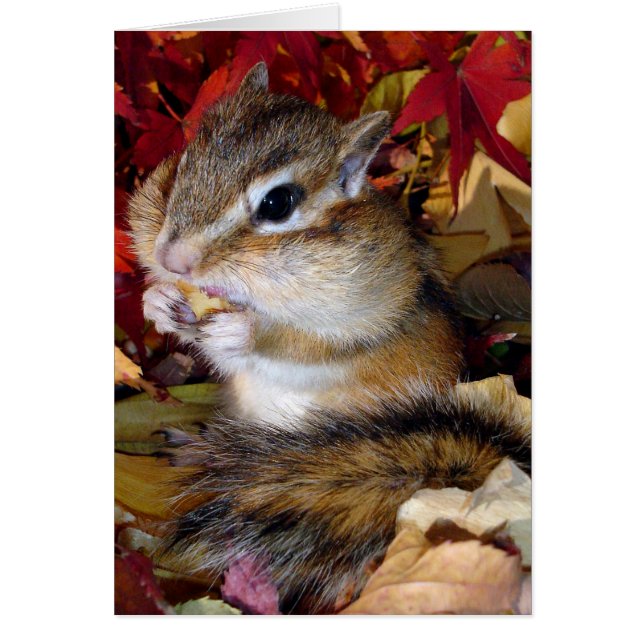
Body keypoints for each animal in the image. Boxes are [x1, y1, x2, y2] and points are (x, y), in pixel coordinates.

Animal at [127, 62, 531, 614]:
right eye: (185, 162)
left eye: (278, 203)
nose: (172, 259)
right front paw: (158, 301)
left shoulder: (364, 317)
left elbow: (307, 347)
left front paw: (241, 331)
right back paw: (193, 447)